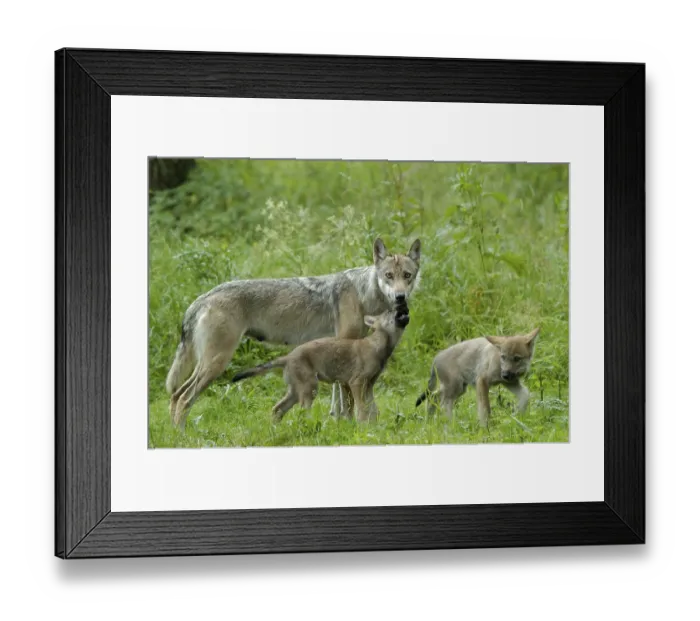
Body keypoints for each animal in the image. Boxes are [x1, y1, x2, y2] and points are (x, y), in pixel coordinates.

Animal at [230, 300, 410, 423]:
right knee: (301, 413)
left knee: (277, 409)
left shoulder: (369, 385)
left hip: (296, 391)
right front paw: (363, 426)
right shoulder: (356, 382)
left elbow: (373, 410)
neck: (378, 345)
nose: (403, 305)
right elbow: (362, 409)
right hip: (310, 389)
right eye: (390, 311)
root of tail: (288, 357)